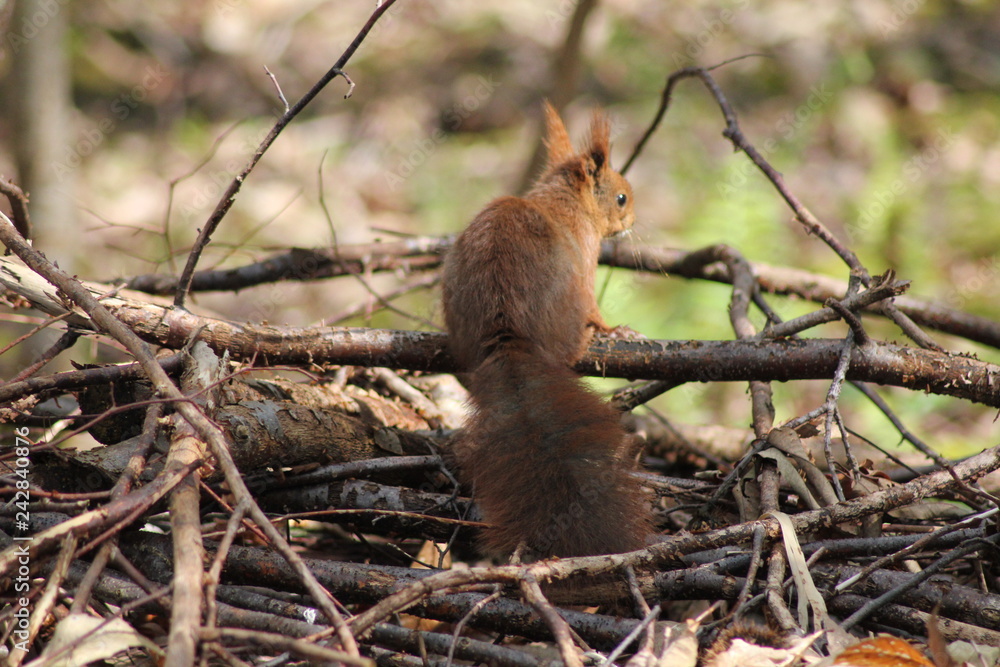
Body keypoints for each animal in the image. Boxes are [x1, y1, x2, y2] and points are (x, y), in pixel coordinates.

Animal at [442, 102, 654, 559]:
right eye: (621, 197)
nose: (632, 219)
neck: (562, 199)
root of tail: (507, 331)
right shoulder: (587, 261)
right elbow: (597, 307)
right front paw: (615, 329)